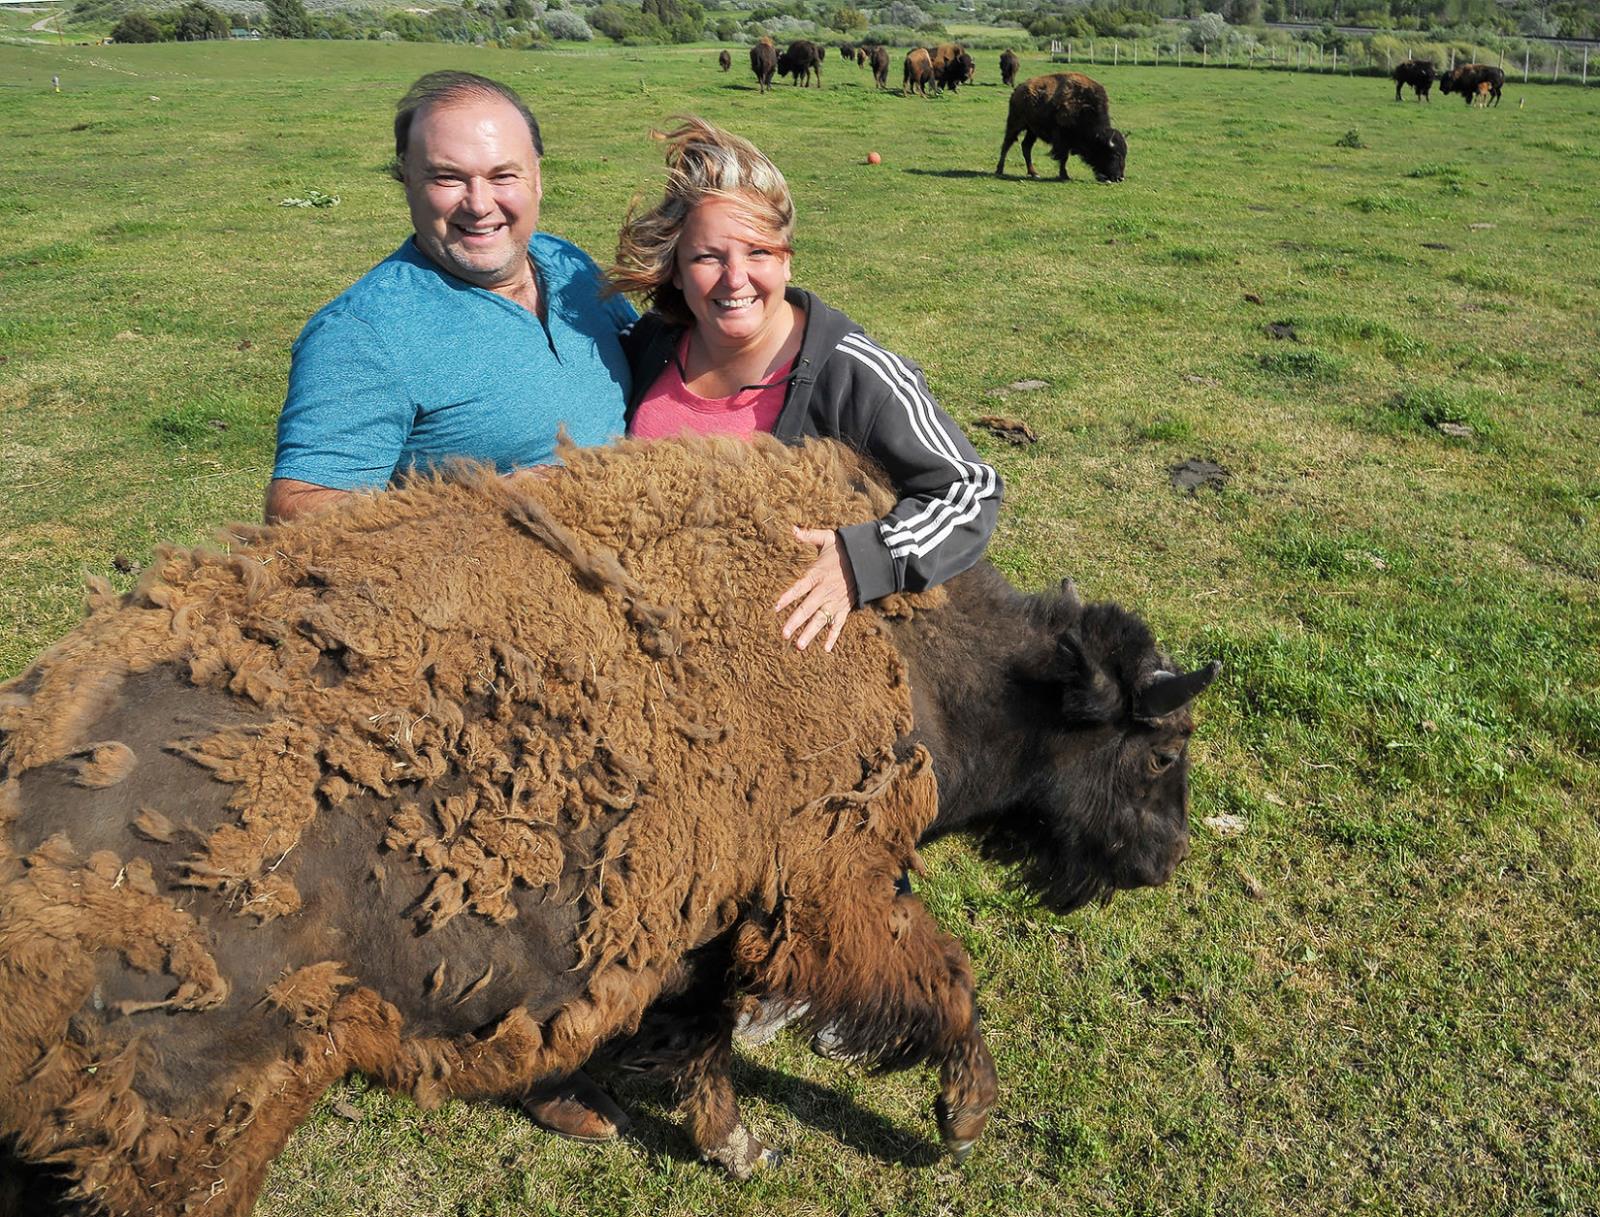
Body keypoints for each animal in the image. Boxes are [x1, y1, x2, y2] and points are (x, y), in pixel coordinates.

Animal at [0, 434, 1209, 1209]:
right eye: (1161, 749)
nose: (1163, 860)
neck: (911, 651)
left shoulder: (717, 922)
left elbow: (707, 1028)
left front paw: (729, 1143)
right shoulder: (829, 891)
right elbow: (945, 976)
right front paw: (960, 1117)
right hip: (202, 1126)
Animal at [992, 71, 1132, 183]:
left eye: (1124, 154)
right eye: (1114, 155)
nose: (1120, 178)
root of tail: (1018, 90)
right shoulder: (1062, 140)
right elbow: (1063, 158)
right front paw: (1064, 175)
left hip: (1032, 131)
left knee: (1026, 146)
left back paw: (1034, 173)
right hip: (1016, 124)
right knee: (1007, 144)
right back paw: (999, 170)